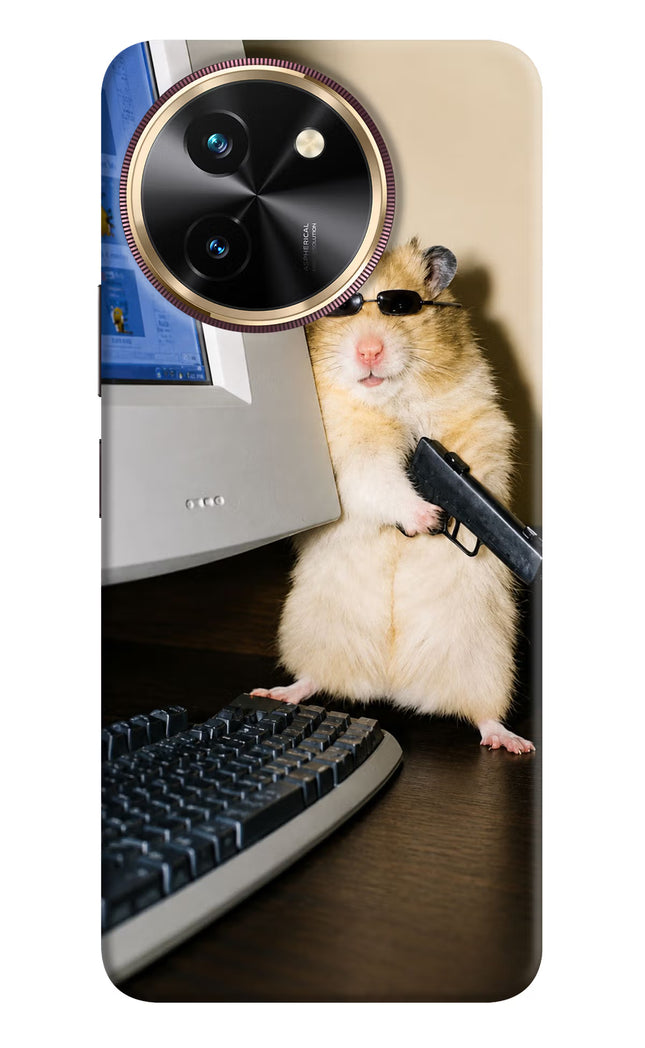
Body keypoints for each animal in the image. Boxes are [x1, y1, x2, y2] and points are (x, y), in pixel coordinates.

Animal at [252, 239, 534, 754]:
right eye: (343, 310)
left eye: (401, 307)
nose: (369, 350)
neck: (390, 401)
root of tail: (393, 686)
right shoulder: (348, 457)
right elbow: (380, 481)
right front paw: (428, 518)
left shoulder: (481, 425)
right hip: (311, 631)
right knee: (313, 678)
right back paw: (276, 692)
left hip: (488, 660)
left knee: (484, 714)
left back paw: (512, 742)